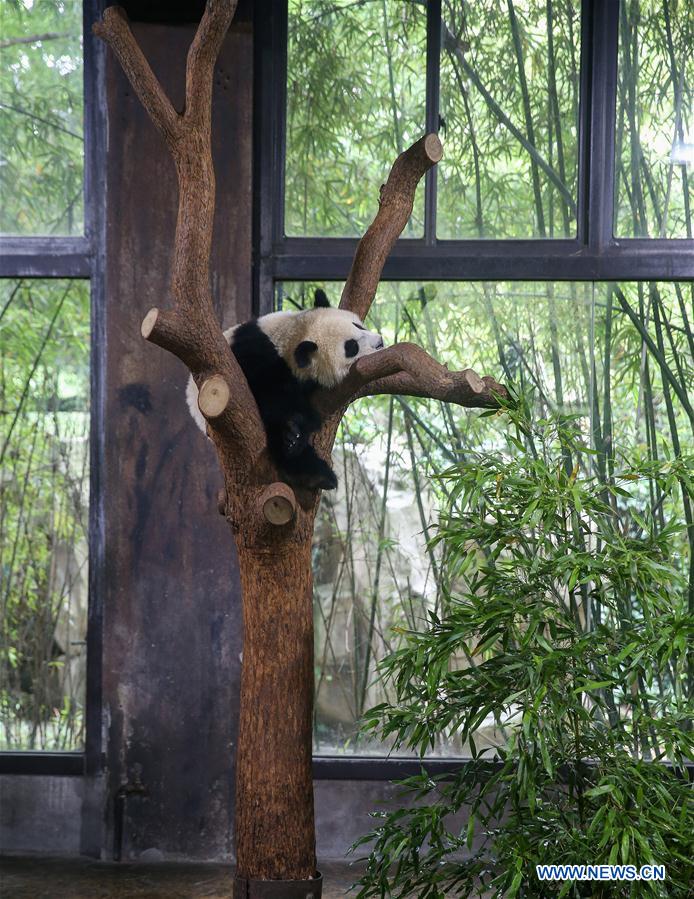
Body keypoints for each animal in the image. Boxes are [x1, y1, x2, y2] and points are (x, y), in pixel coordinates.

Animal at [186, 289, 384, 491]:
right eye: (351, 347)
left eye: (358, 325)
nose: (380, 342)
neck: (290, 338)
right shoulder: (253, 357)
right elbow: (269, 394)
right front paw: (293, 430)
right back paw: (312, 470)